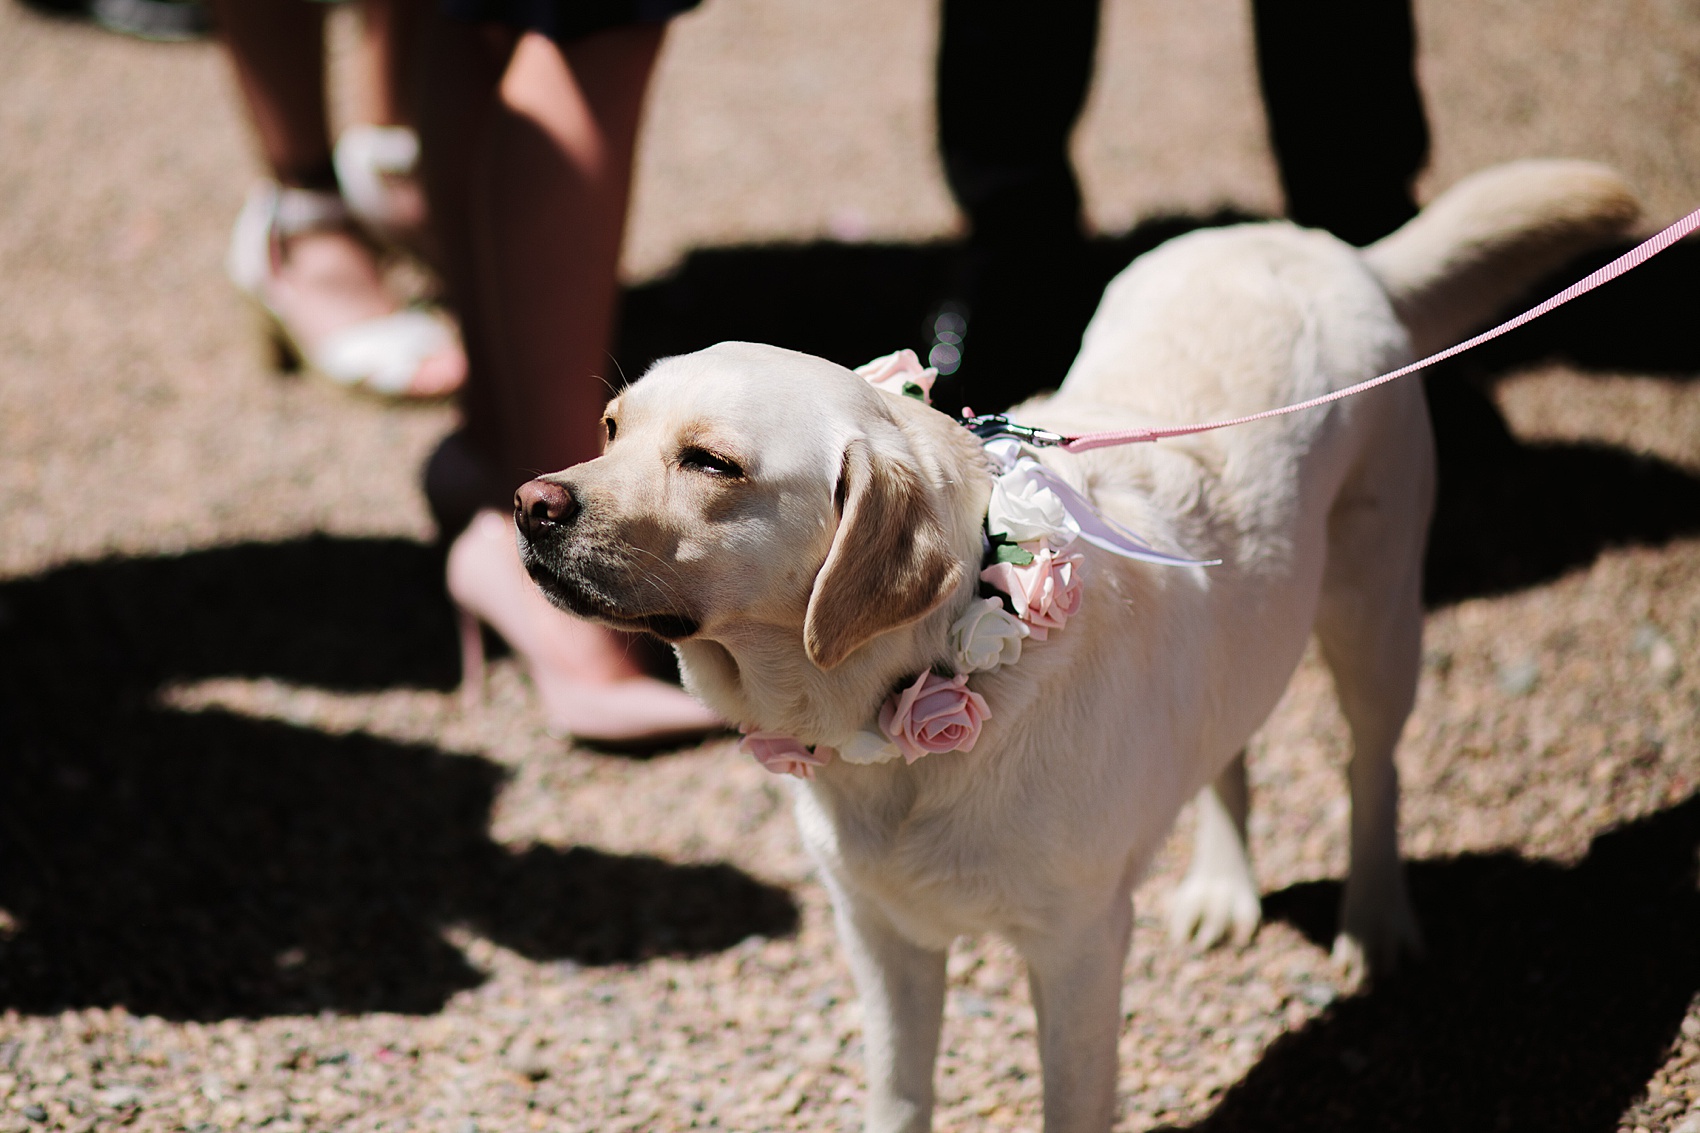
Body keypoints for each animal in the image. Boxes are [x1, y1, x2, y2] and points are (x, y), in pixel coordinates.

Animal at [513, 160, 1632, 1129]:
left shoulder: (1079, 947)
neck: (905, 712)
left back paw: (1375, 920)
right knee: (1228, 745)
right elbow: (899, 1095)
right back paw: (1223, 887)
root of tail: (1324, 246)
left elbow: (1071, 1101)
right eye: (609, 426)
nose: (530, 504)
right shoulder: (880, 938)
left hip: (1373, 608)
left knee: (1373, 763)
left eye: (711, 462)